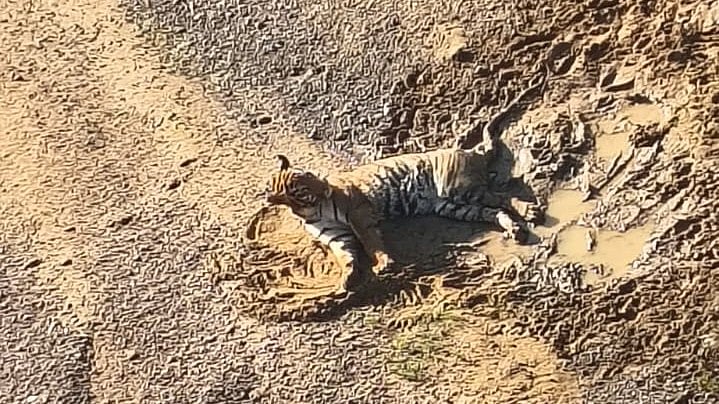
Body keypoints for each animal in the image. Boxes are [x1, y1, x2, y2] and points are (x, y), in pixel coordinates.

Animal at [264, 70, 547, 295]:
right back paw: (514, 229)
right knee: (494, 210)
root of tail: (470, 151)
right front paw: (347, 279)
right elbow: (347, 257)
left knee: (503, 197)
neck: (312, 209)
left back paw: (528, 212)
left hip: (459, 189)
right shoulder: (337, 236)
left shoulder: (358, 212)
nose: (324, 186)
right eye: (297, 190)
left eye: (304, 178)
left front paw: (383, 263)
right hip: (453, 206)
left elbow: (370, 242)